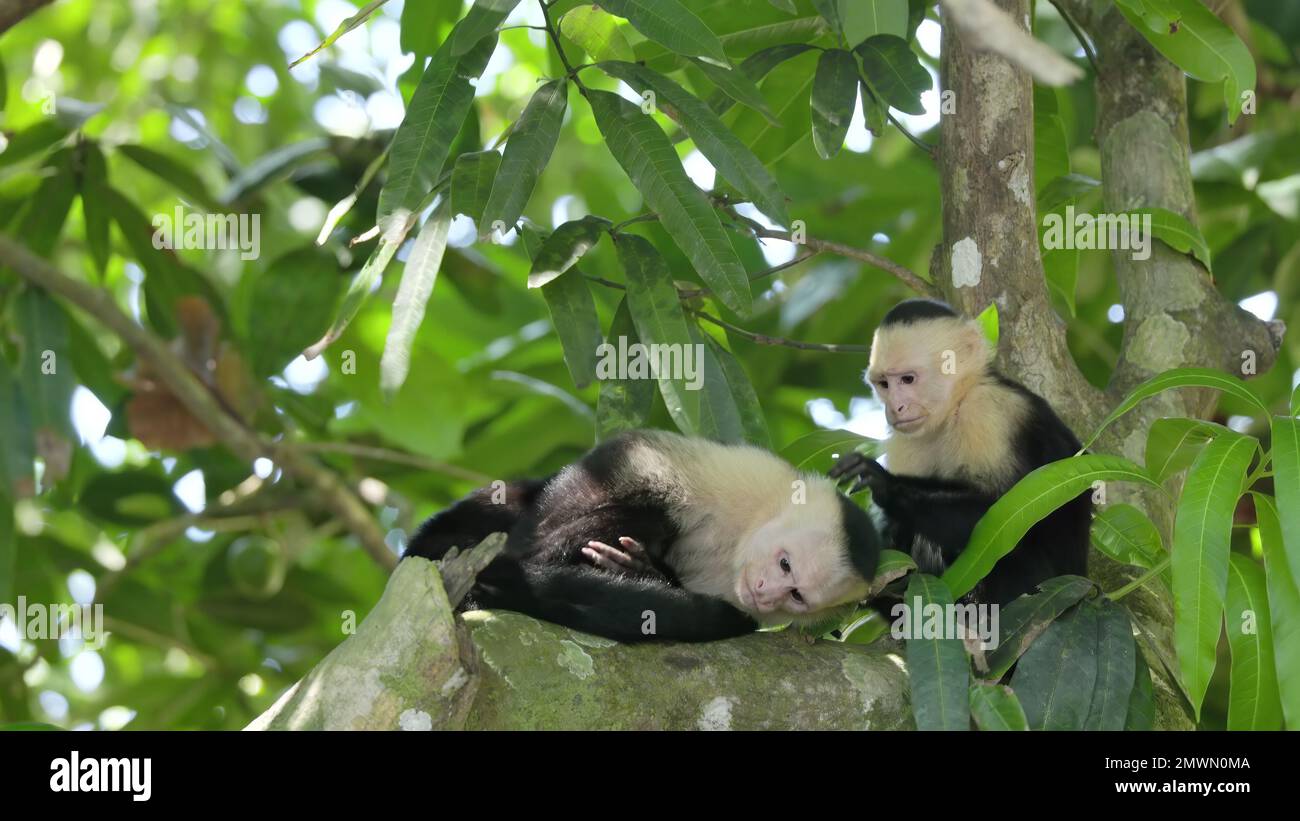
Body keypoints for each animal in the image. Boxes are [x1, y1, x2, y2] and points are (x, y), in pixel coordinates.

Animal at [400, 426, 878, 644]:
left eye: (796, 595)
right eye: (784, 563)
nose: (764, 591)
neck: (742, 534)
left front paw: (643, 569)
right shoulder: (750, 474)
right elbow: (630, 460)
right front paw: (529, 553)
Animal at [826, 298, 1092, 605]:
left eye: (907, 379)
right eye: (884, 384)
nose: (895, 408)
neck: (954, 406)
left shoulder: (987, 410)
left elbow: (1006, 517)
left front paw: (887, 486)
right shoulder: (906, 441)